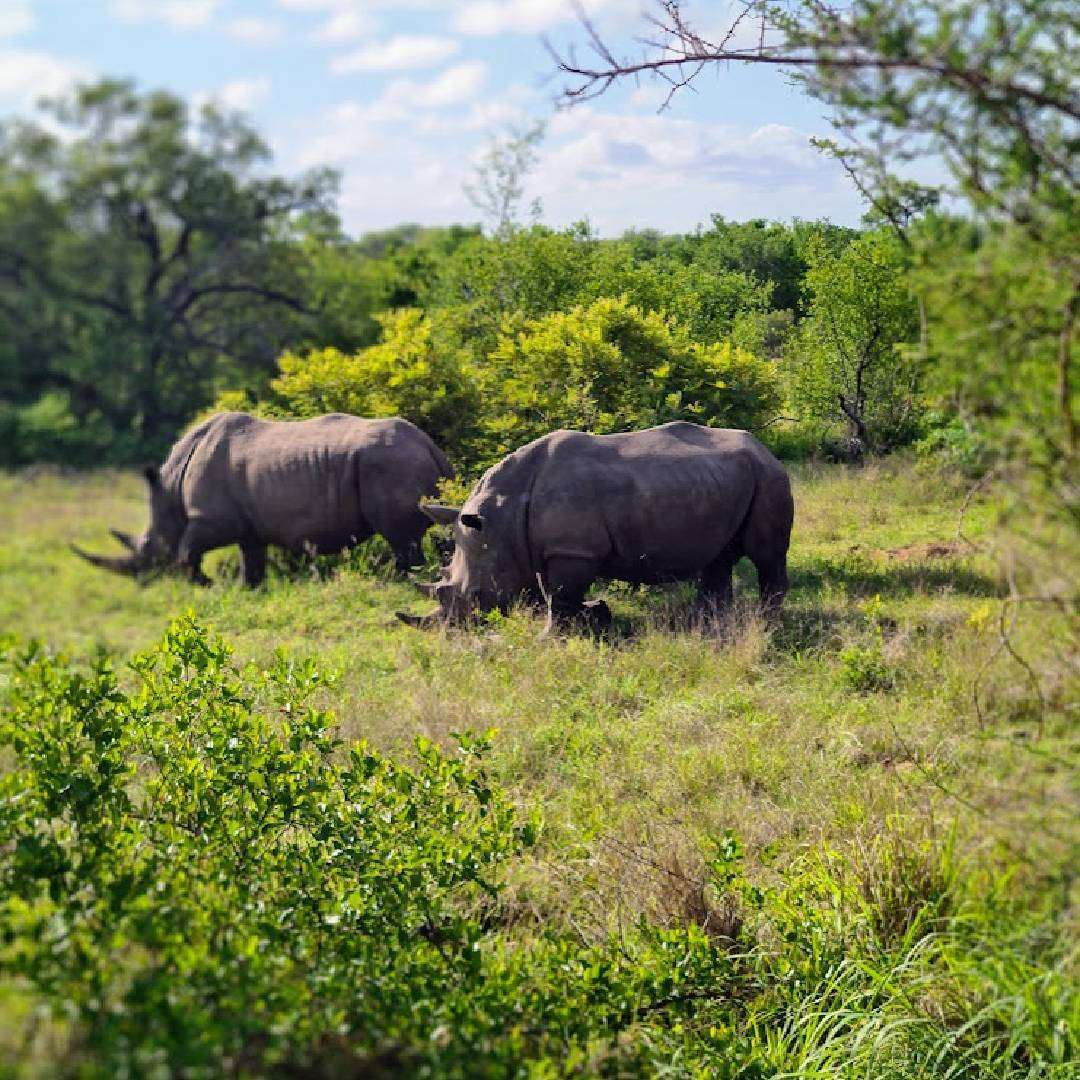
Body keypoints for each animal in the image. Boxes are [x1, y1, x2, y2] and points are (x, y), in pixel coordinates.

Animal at [73, 411, 452, 587]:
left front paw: (206, 585)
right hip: (405, 462)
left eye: (149, 550)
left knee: (400, 538)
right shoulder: (247, 527)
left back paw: (400, 581)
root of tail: (429, 445)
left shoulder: (209, 519)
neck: (172, 488)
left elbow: (186, 551)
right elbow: (251, 558)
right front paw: (247, 589)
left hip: (390, 464)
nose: (145, 583)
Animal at [398, 422, 793, 631]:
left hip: (769, 476)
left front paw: (551, 639)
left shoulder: (572, 550)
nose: (455, 633)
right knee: (719, 556)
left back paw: (767, 623)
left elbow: (559, 595)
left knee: (766, 555)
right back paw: (707, 625)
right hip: (726, 478)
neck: (501, 518)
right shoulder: (543, 548)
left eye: (478, 595)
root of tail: (765, 448)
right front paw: (585, 622)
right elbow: (554, 594)